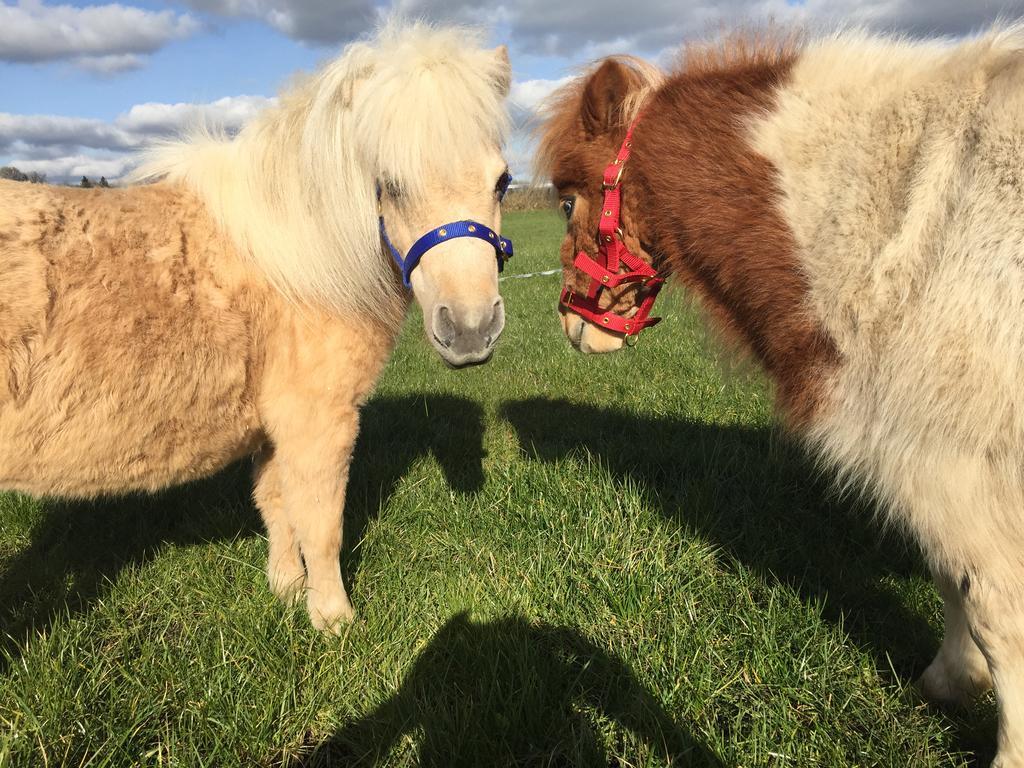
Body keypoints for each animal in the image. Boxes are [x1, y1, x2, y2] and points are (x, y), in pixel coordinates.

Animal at [0, 25, 512, 638]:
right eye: (389, 184)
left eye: (503, 182)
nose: (471, 330)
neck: (295, 265)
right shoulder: (317, 421)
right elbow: (321, 526)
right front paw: (334, 621)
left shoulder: (274, 429)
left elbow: (277, 508)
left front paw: (288, 591)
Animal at [536, 25, 1024, 768]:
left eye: (568, 201)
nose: (570, 323)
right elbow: (952, 582)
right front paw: (951, 680)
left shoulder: (951, 461)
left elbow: (996, 613)